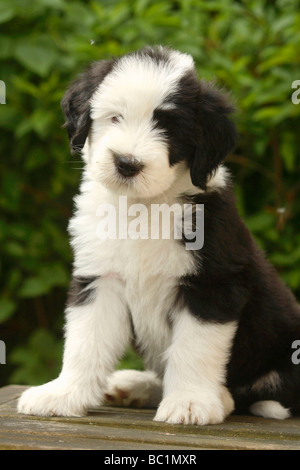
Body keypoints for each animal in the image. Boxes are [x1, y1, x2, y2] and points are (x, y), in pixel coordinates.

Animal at [18, 46, 300, 424]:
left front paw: (191, 402)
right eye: (115, 117)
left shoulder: (212, 285)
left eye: (169, 129)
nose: (127, 163)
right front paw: (63, 394)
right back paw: (134, 385)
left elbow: (192, 349)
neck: (143, 208)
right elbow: (85, 342)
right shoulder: (100, 278)